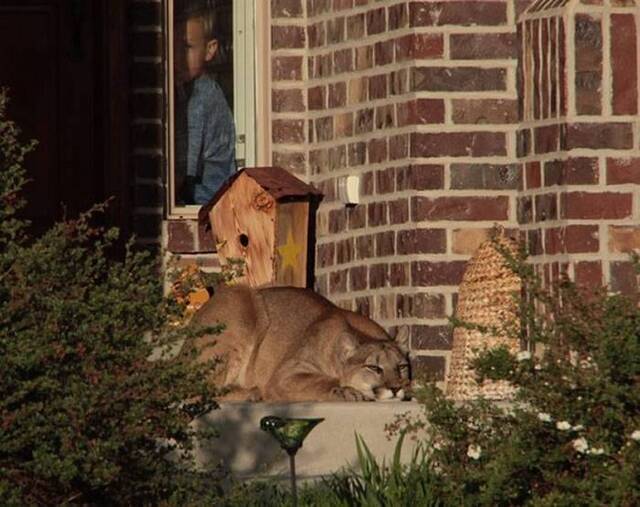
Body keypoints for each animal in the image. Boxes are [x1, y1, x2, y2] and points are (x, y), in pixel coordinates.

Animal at [189, 286, 410, 400]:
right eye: (374, 367)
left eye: (401, 367)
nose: (396, 388)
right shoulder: (285, 375)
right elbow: (326, 379)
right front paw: (347, 390)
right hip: (239, 303)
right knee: (197, 394)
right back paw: (252, 394)